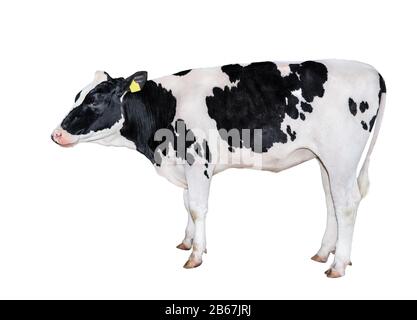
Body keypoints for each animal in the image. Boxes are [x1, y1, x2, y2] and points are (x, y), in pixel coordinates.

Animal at [52, 60, 386, 278]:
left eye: (95, 100)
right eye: (77, 96)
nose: (56, 134)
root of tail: (373, 71)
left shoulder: (198, 159)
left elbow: (197, 207)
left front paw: (196, 255)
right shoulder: (184, 166)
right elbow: (187, 203)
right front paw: (187, 242)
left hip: (342, 156)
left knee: (347, 204)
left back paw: (338, 265)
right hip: (327, 160)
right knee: (332, 201)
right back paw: (324, 253)